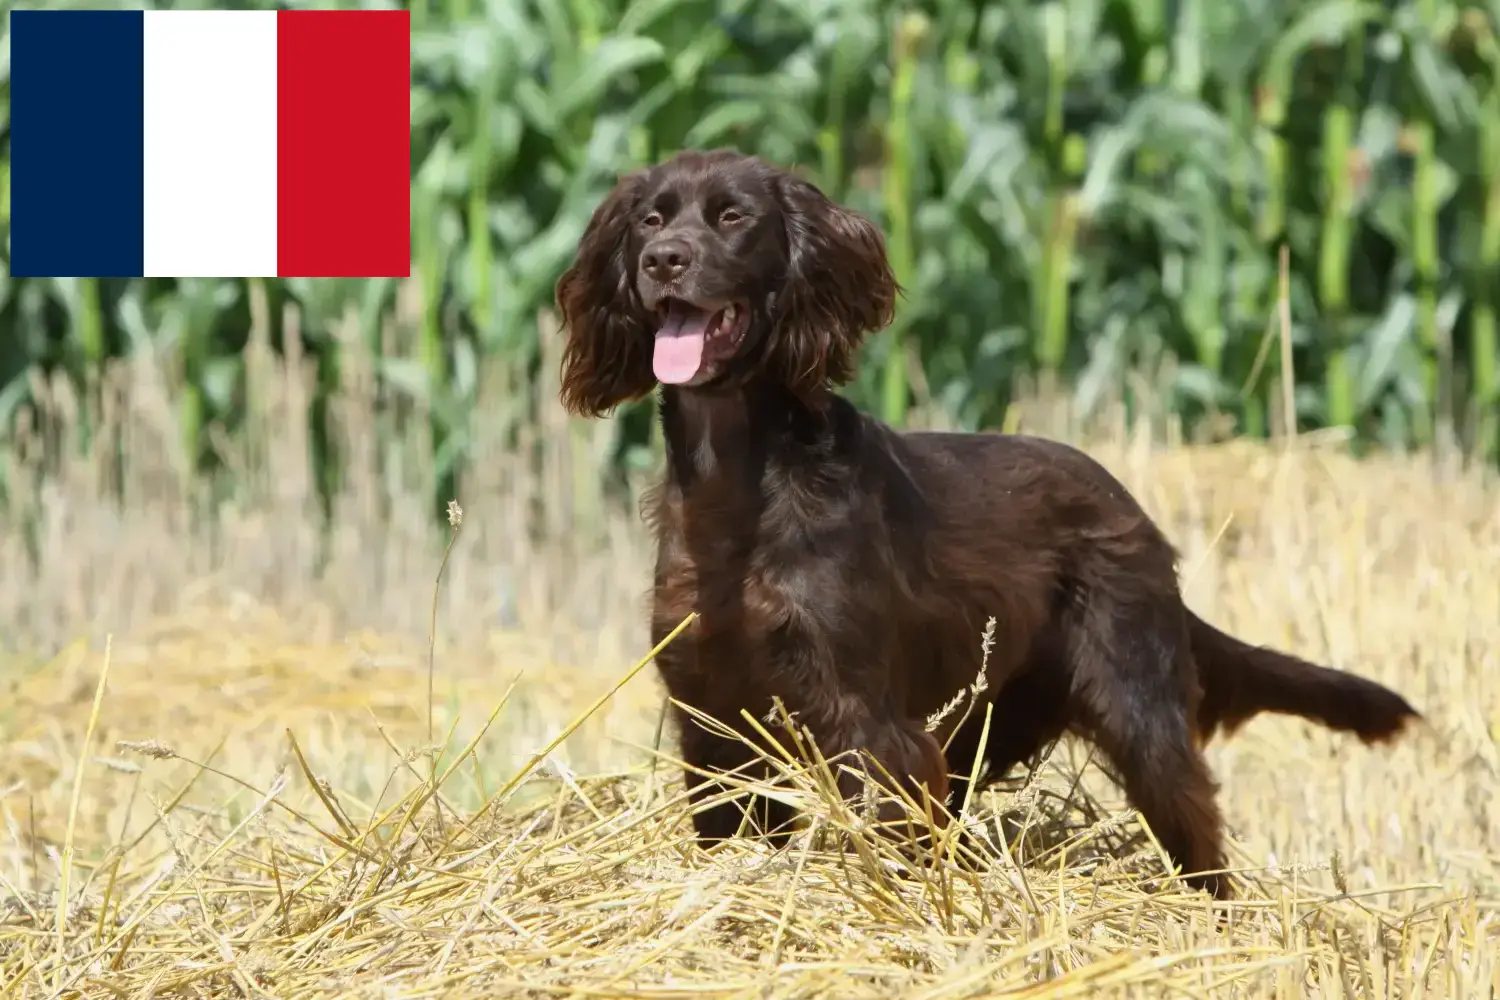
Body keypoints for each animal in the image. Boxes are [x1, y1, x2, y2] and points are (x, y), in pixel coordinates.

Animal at [552, 148, 1416, 899]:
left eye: (732, 216)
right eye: (649, 219)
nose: (663, 261)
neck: (736, 479)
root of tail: (1136, 515)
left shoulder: (865, 719)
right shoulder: (713, 720)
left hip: (1141, 714)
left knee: (1196, 830)